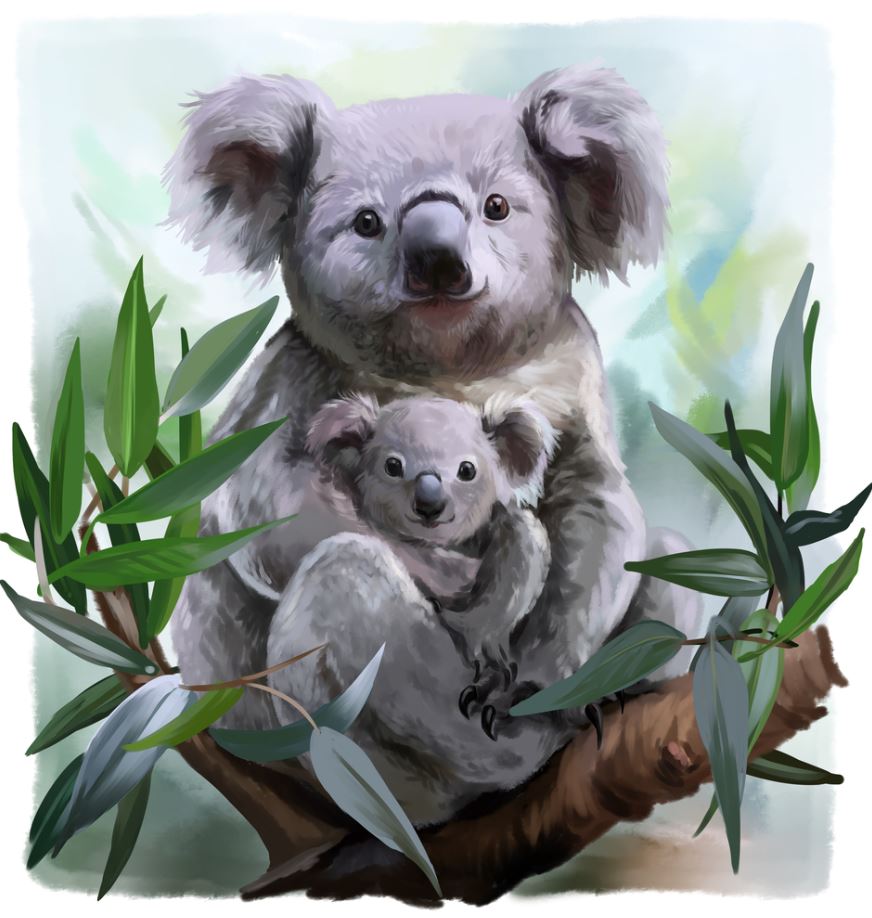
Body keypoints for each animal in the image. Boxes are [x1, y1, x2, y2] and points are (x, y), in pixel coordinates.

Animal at [165, 64, 702, 825]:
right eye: (366, 222)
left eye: (496, 207)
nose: (438, 261)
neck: (452, 369)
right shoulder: (289, 386)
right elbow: (261, 511)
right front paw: (464, 576)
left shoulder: (574, 378)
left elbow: (598, 513)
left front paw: (541, 682)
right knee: (351, 595)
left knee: (671, 565)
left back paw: (570, 711)